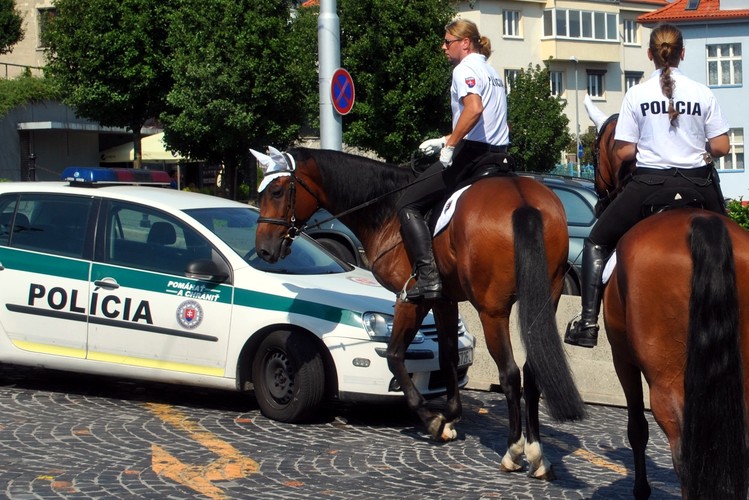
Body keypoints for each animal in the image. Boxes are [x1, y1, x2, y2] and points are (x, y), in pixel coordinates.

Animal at [254, 146, 588, 478]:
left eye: (276, 190)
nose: (264, 250)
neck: (386, 209)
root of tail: (522, 200)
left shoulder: (411, 299)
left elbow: (394, 355)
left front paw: (433, 420)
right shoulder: (444, 300)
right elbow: (449, 355)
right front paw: (451, 415)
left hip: (492, 310)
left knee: (509, 373)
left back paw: (513, 450)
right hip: (545, 298)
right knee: (532, 371)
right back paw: (537, 455)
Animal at [592, 111, 748, 498]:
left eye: (594, 150)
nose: (600, 200)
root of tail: (699, 225)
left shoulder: (622, 357)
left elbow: (636, 428)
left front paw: (641, 489)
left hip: (665, 379)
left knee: (683, 452)